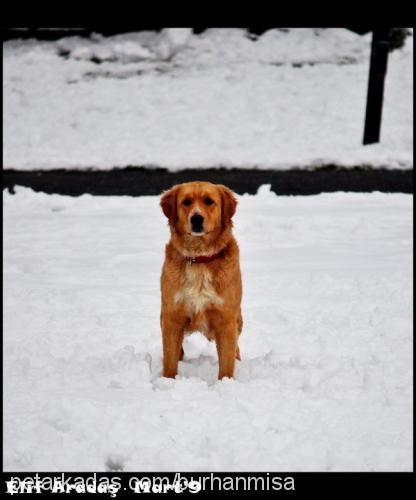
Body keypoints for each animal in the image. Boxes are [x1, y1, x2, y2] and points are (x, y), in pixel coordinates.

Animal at [160, 181, 244, 378]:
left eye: (209, 201)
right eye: (186, 202)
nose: (196, 218)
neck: (199, 258)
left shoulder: (226, 319)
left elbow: (227, 364)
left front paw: (225, 383)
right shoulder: (172, 316)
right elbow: (169, 361)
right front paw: (168, 381)